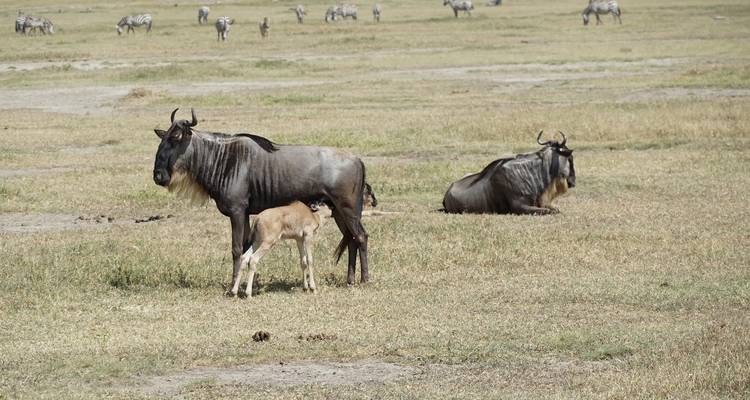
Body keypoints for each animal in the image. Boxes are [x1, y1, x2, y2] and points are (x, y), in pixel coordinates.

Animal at [152, 109, 370, 295]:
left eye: (176, 138)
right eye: (162, 139)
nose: (158, 176)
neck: (221, 159)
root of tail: (358, 160)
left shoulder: (237, 211)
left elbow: (236, 249)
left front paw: (234, 286)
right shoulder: (246, 214)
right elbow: (247, 247)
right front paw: (249, 283)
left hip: (348, 209)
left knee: (361, 237)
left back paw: (365, 280)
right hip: (339, 211)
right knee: (351, 239)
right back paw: (350, 280)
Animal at [442, 131, 575, 214]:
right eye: (570, 158)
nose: (573, 182)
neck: (532, 172)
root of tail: (446, 195)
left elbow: (555, 209)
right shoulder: (520, 207)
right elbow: (549, 211)